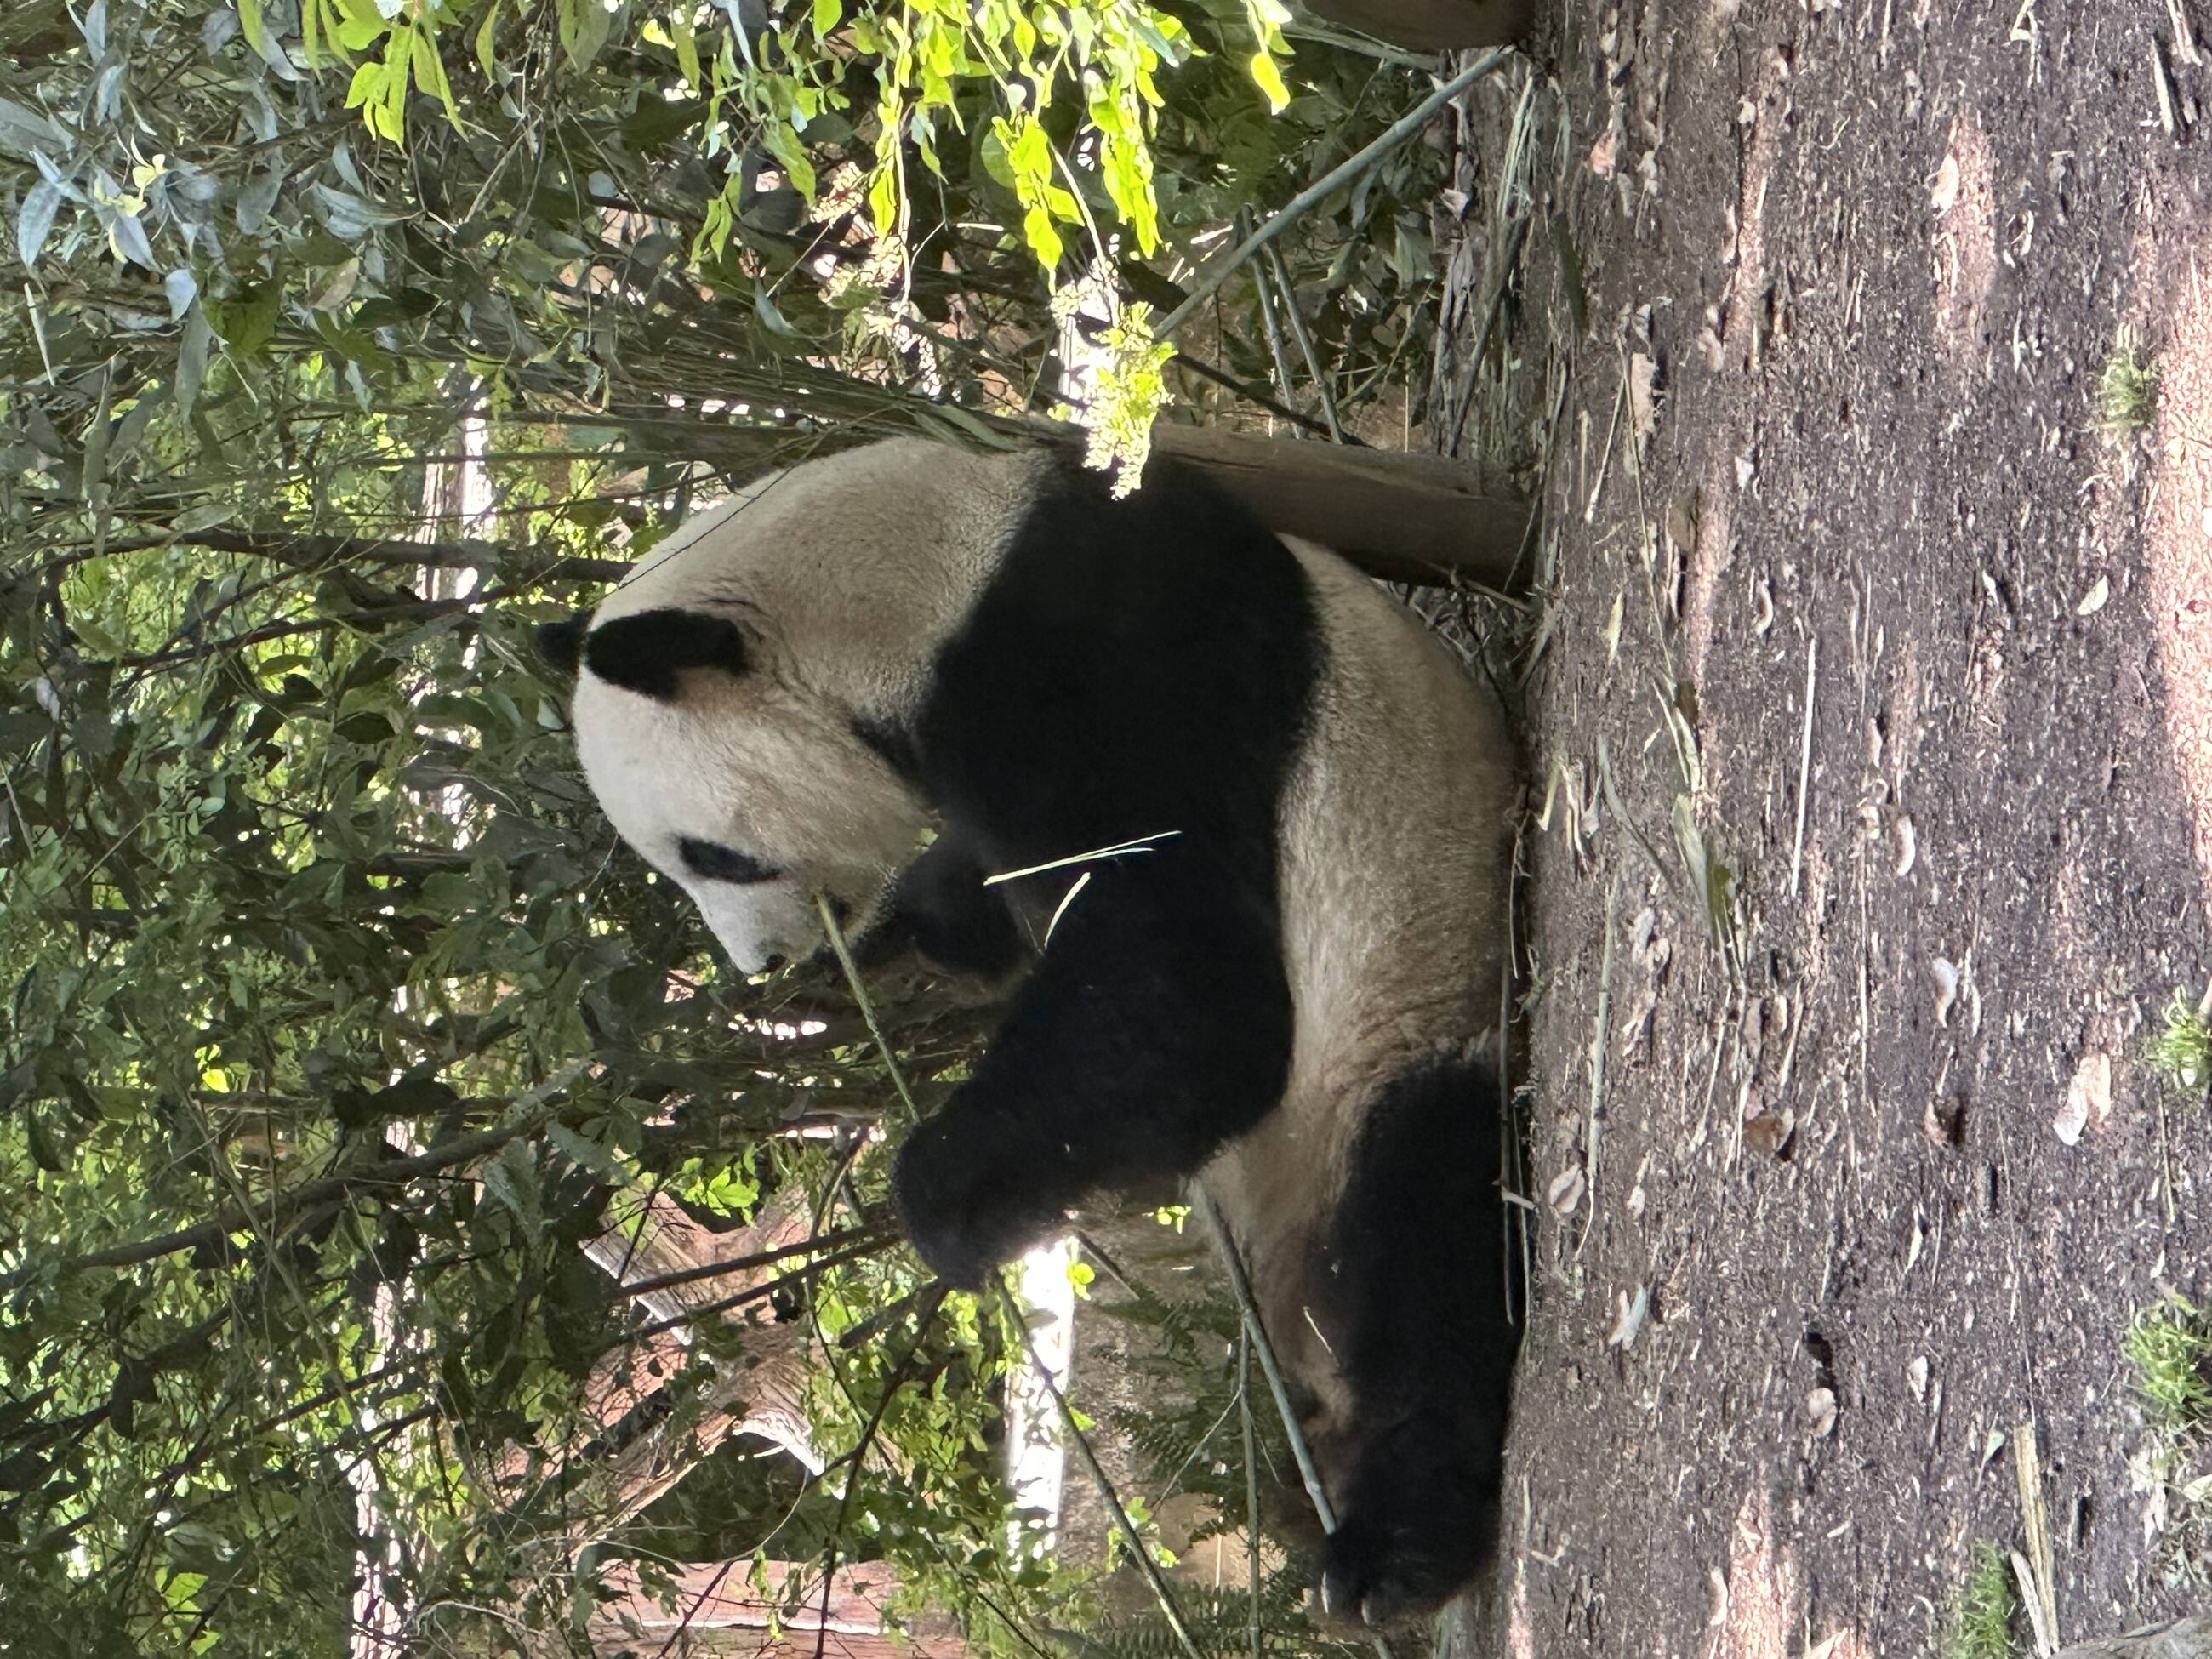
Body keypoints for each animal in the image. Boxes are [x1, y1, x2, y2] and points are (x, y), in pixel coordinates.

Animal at [539, 435, 1520, 1626]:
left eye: (713, 855)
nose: (768, 968)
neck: (922, 581)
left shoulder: (1099, 665)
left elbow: (1194, 989)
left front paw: (947, 1212)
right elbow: (996, 897)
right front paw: (922, 927)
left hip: (1408, 1016)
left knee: (1419, 1244)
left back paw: (1390, 1551)